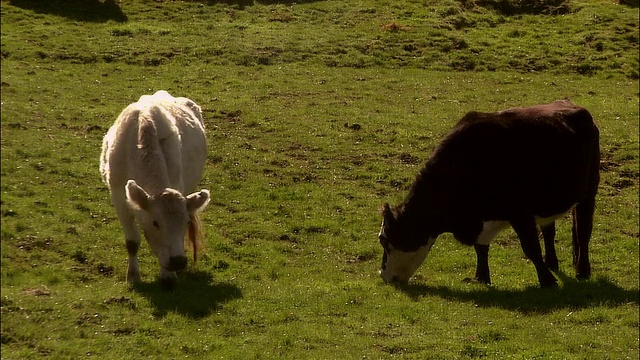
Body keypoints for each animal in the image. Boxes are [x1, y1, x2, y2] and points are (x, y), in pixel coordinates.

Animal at [100, 90, 210, 290]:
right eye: (155, 223)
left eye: (185, 222)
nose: (178, 261)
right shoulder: (119, 199)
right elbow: (132, 242)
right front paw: (133, 276)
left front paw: (168, 276)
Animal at [378, 100, 596, 288]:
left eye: (384, 240)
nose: (383, 275)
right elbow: (481, 247)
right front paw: (481, 277)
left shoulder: (520, 213)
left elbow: (531, 247)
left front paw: (547, 281)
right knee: (549, 230)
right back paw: (552, 262)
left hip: (588, 192)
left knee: (583, 231)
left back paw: (582, 271)